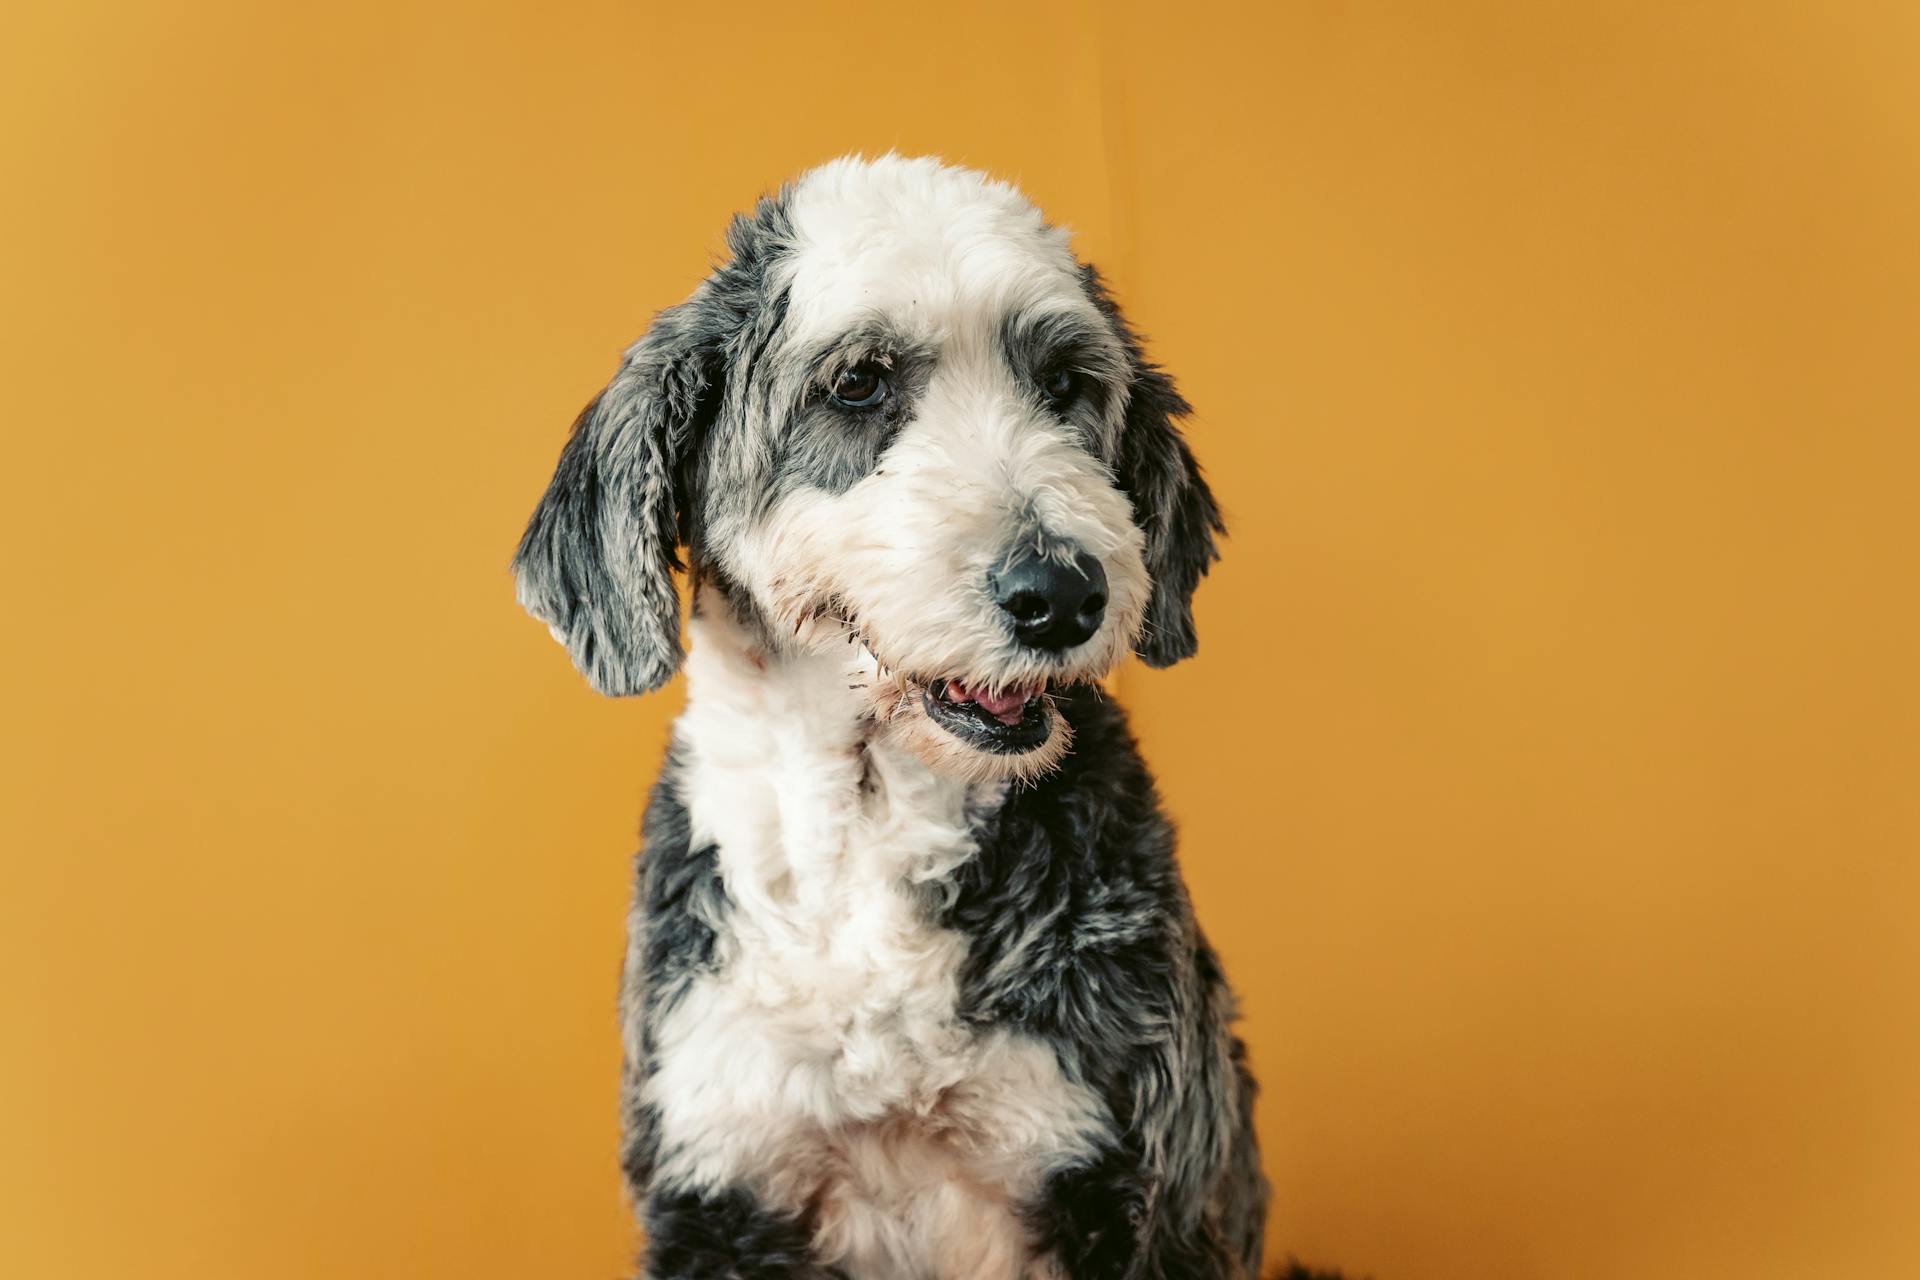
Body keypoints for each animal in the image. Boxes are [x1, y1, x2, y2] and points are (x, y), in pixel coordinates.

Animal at [510, 157, 1267, 1280]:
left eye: (1065, 386)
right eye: (858, 383)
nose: (1061, 592)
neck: (871, 819)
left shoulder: (1128, 1180)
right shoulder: (717, 1180)